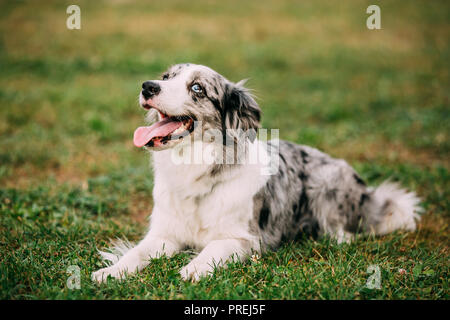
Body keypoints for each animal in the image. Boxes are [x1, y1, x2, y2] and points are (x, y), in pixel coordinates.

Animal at [91, 63, 422, 282]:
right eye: (165, 77)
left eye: (197, 88)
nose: (148, 86)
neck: (196, 171)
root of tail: (367, 192)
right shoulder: (164, 233)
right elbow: (136, 253)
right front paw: (111, 271)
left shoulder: (245, 239)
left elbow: (213, 247)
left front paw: (194, 267)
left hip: (327, 184)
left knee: (346, 232)